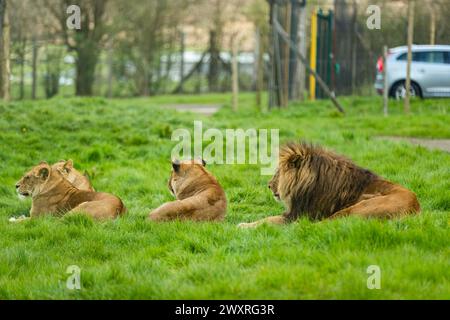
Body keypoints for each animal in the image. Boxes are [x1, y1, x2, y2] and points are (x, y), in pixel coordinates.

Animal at [239, 142, 422, 228]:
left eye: (279, 172)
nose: (269, 185)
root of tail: (414, 211)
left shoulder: (300, 214)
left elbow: (269, 219)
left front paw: (243, 225)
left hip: (360, 206)